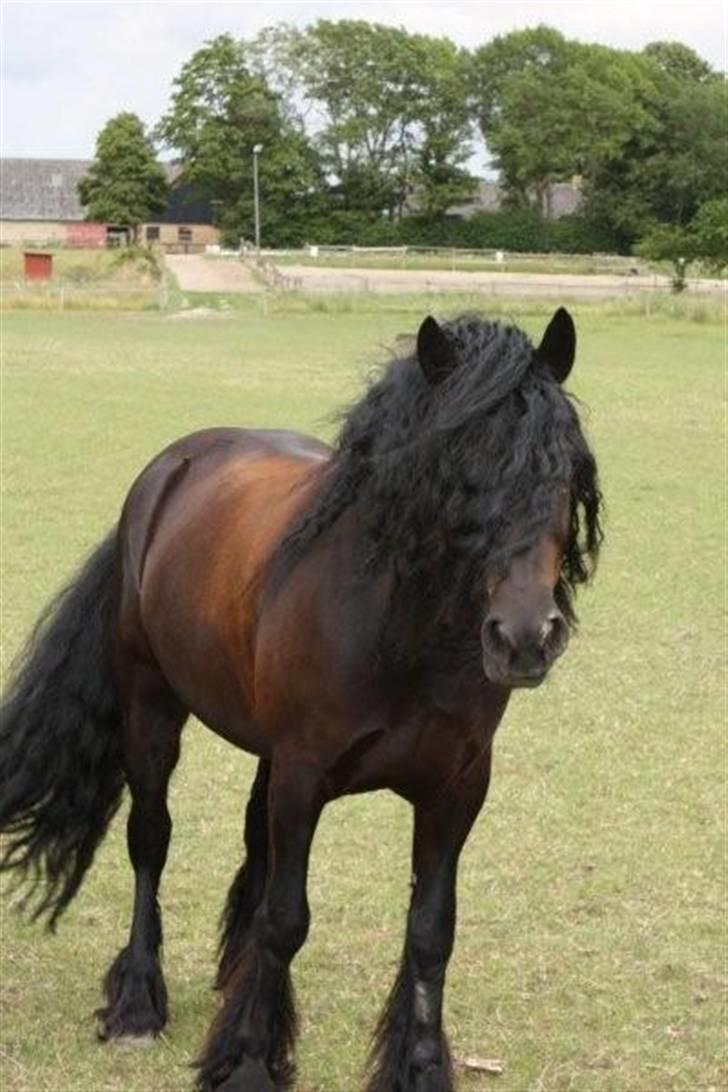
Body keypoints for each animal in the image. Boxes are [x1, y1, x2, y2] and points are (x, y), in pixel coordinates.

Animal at [0, 308, 602, 1092]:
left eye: (562, 471)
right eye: (459, 472)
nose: (526, 637)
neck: (401, 634)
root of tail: (168, 472)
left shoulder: (456, 790)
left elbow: (429, 932)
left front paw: (415, 1068)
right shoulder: (303, 775)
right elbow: (286, 919)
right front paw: (252, 1062)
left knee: (254, 851)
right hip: (151, 707)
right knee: (151, 840)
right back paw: (137, 1003)